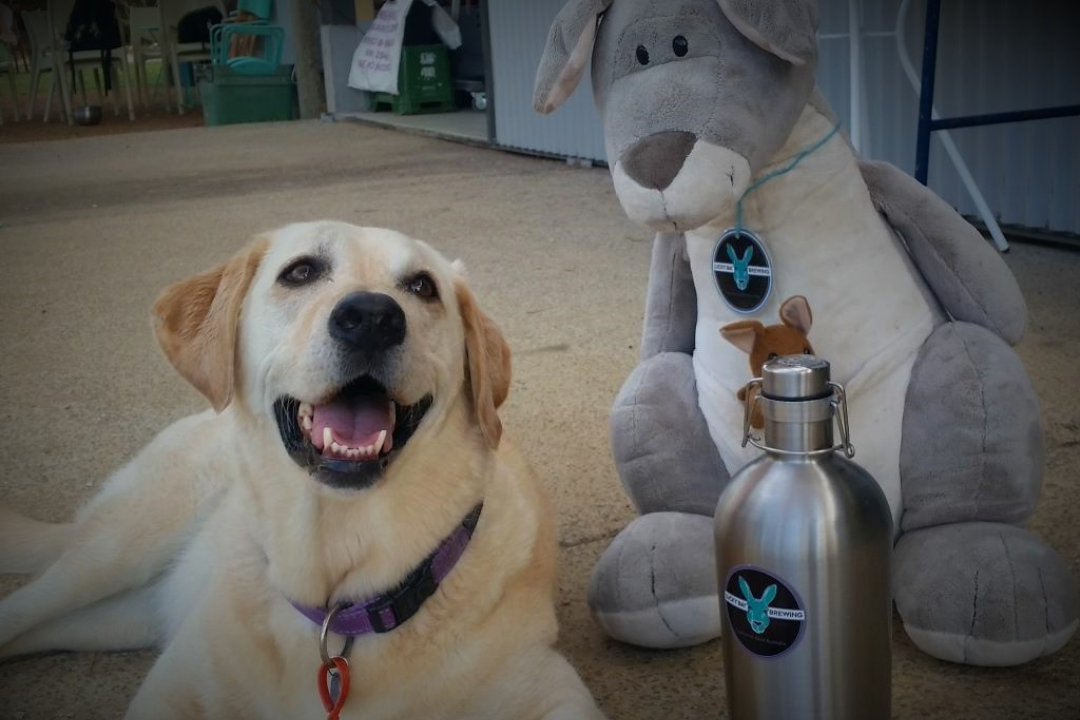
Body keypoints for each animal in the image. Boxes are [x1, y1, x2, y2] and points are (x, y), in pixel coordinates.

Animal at [0, 222, 609, 716]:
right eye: (300, 272)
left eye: (422, 287)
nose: (372, 318)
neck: (336, 596)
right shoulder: (174, 691)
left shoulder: (548, 687)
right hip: (117, 548)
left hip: (122, 614)